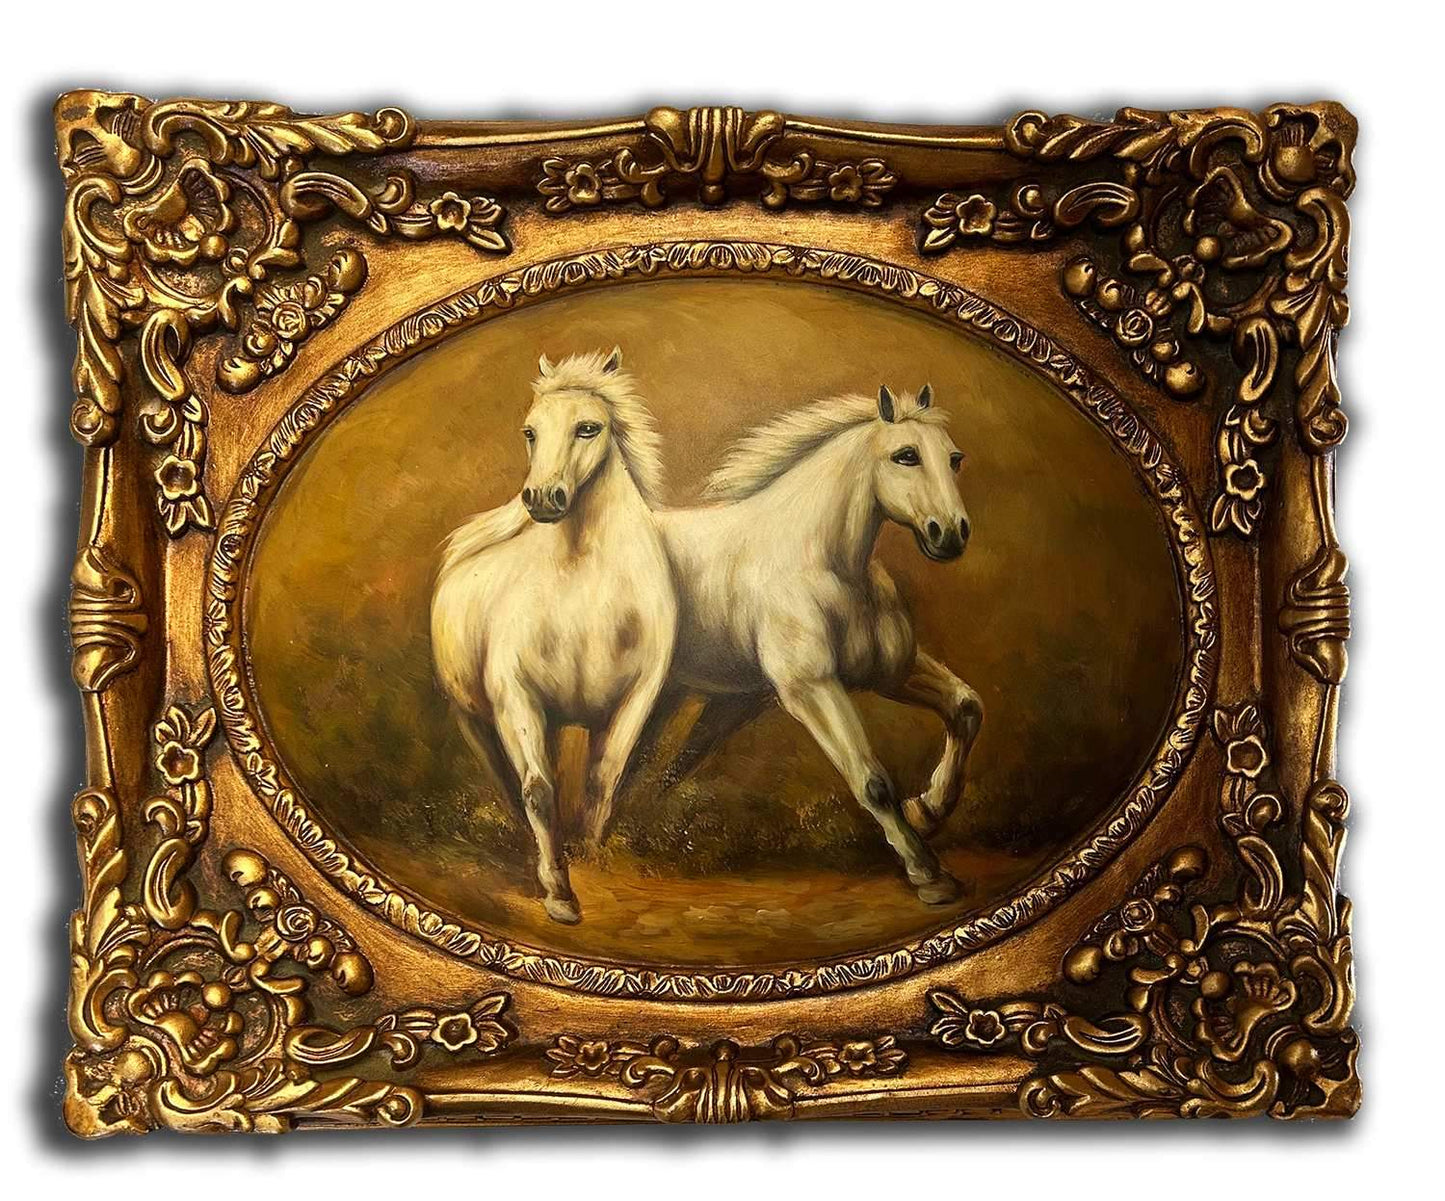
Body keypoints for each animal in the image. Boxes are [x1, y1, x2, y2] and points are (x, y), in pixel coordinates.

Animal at [430, 348, 677, 924]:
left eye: (589, 428)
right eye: (530, 432)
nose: (542, 498)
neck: (587, 592)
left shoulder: (636, 698)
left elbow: (602, 780)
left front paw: (590, 855)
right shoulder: (516, 699)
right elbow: (540, 791)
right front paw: (559, 892)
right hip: (472, 717)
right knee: (506, 781)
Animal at [640, 383, 983, 905]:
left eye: (954, 458)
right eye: (905, 455)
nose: (950, 534)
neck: (821, 562)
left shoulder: (893, 671)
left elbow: (966, 707)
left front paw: (927, 809)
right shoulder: (811, 688)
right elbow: (872, 781)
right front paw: (929, 874)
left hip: (679, 696)